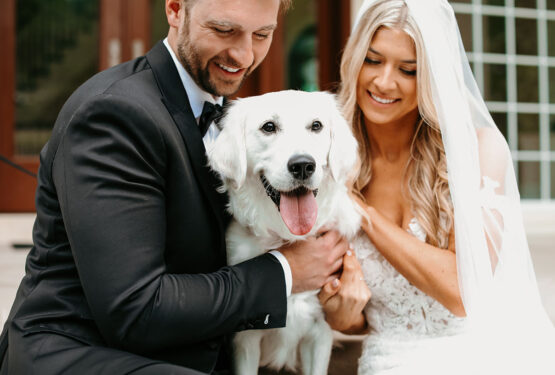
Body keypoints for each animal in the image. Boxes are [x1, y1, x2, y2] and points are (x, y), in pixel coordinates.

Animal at [207, 91, 360, 375]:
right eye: (269, 127)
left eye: (316, 125)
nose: (303, 165)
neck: (289, 237)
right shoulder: (245, 341)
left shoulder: (319, 331)